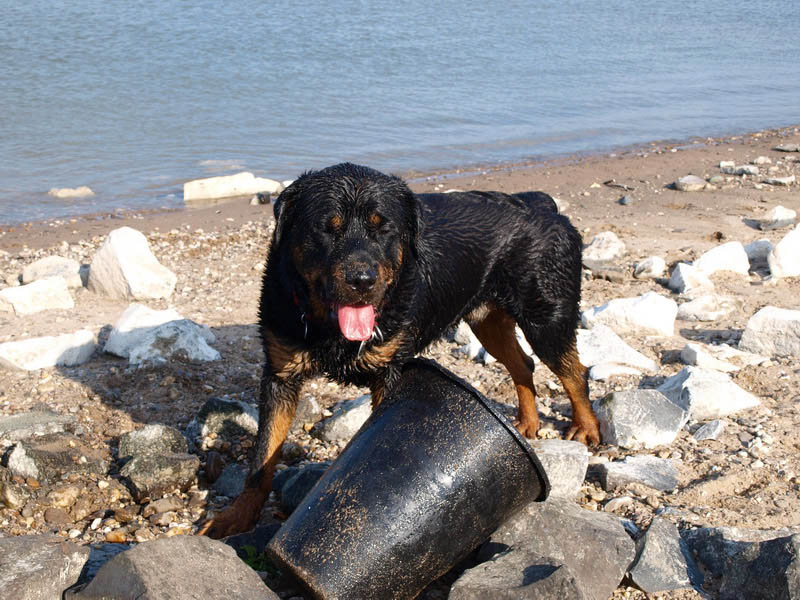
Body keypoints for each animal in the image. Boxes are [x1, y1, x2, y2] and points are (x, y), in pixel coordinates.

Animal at [200, 162, 600, 536]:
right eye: (327, 228)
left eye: (384, 228)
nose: (362, 280)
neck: (330, 328)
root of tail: (541, 202)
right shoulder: (280, 375)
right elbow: (262, 457)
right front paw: (236, 517)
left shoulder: (388, 374)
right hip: (487, 320)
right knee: (523, 365)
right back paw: (528, 423)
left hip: (546, 315)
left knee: (572, 371)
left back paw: (586, 429)